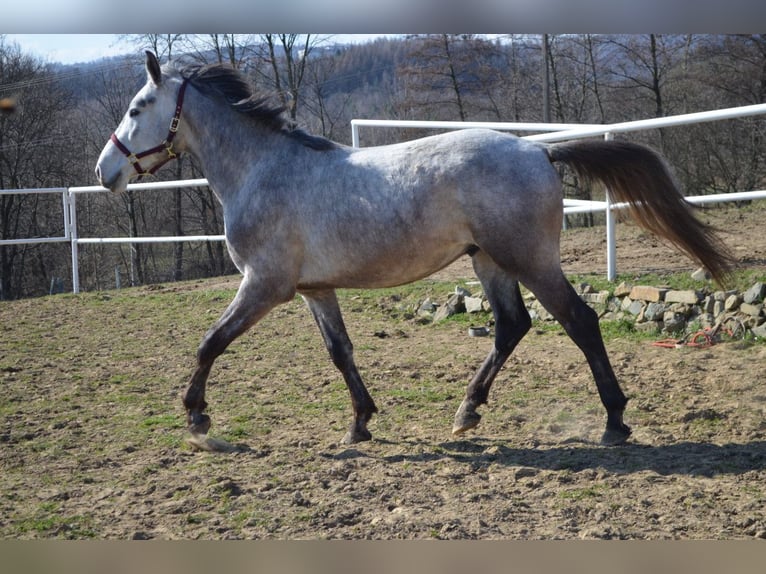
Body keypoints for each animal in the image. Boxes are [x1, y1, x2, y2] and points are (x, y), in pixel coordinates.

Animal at [96, 51, 733, 452]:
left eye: (135, 108)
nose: (105, 173)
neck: (265, 170)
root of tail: (538, 152)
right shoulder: (314, 290)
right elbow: (341, 352)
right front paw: (360, 424)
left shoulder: (264, 285)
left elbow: (210, 342)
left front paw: (198, 418)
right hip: (488, 261)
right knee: (512, 326)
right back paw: (467, 412)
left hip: (529, 261)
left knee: (580, 321)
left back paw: (614, 422)